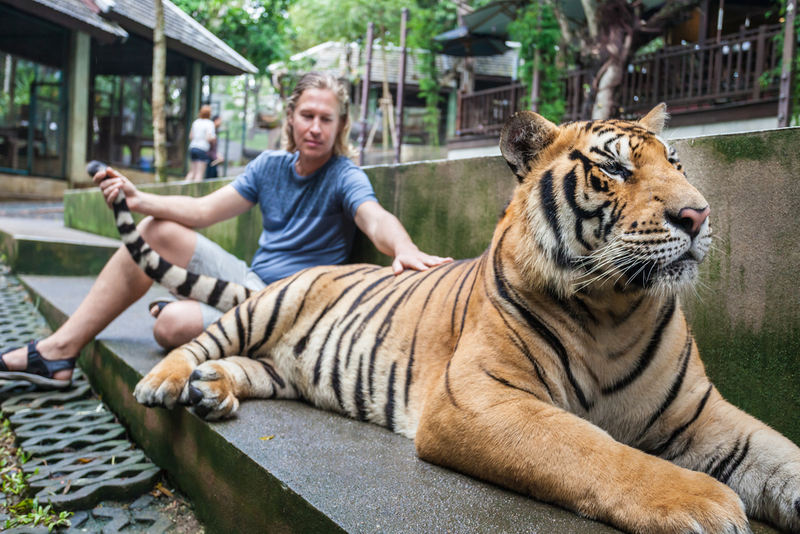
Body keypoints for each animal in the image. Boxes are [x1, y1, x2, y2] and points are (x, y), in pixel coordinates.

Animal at [103, 105, 800, 534]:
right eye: (614, 166)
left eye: (676, 164)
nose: (699, 215)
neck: (616, 307)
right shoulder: (480, 398)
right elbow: (590, 448)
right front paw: (703, 501)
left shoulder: (701, 412)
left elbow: (779, 455)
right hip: (265, 307)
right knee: (198, 340)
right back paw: (168, 382)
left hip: (287, 368)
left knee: (253, 367)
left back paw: (214, 390)